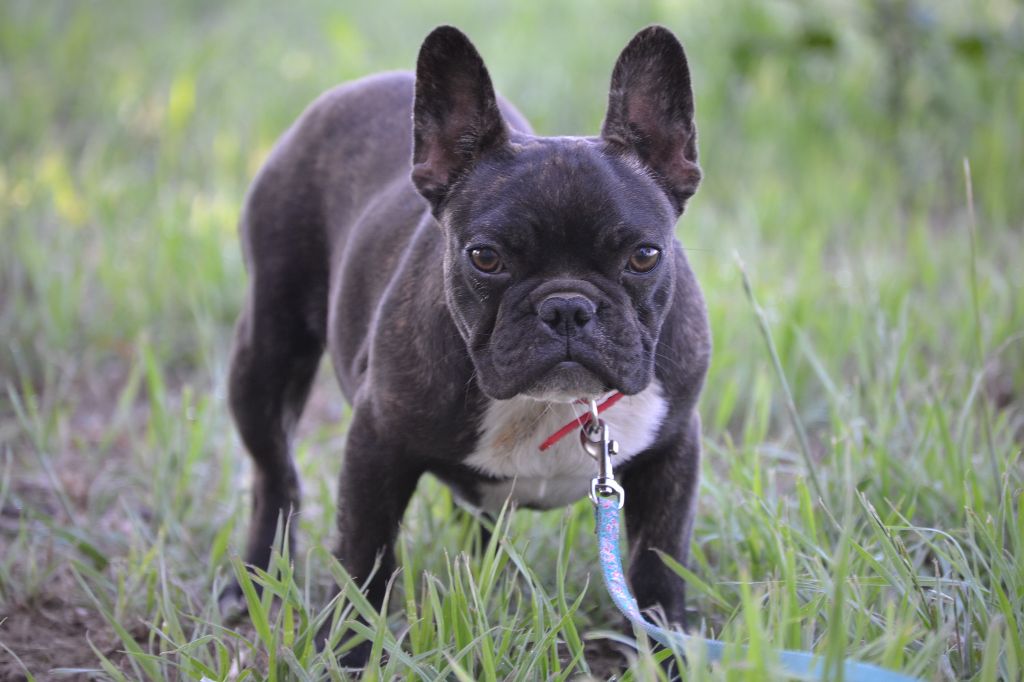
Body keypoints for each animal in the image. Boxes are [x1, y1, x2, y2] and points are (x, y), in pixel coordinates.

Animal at [220, 23, 708, 659]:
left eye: (645, 256)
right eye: (486, 257)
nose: (567, 307)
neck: (551, 405)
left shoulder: (672, 452)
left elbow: (656, 568)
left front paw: (666, 653)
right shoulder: (376, 443)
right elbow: (364, 560)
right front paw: (348, 653)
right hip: (265, 352)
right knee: (273, 473)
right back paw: (252, 581)